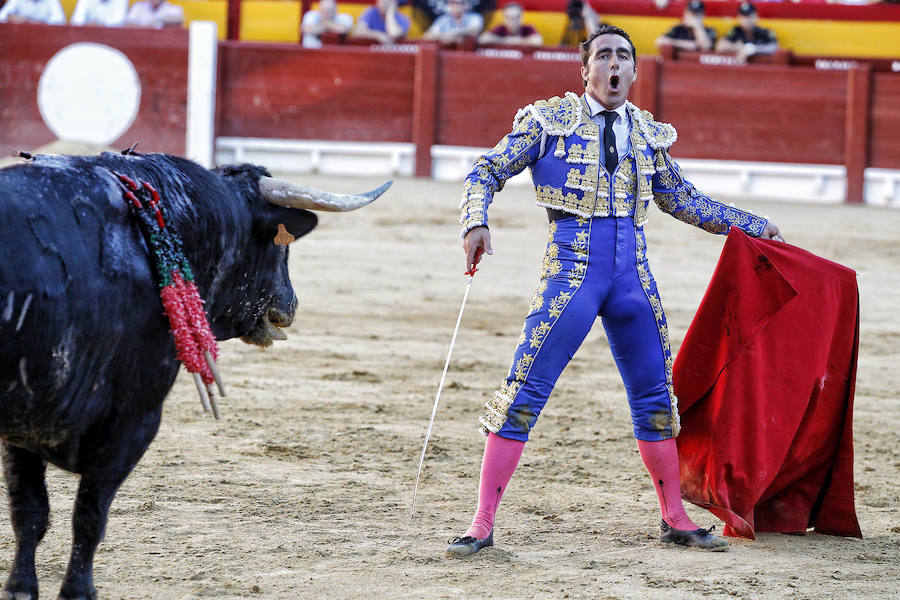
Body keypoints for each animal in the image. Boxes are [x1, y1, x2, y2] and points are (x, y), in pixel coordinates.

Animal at [0, 151, 388, 600]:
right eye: (280, 248)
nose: (291, 304)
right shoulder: (132, 419)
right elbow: (86, 516)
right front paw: (76, 591)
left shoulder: (28, 426)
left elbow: (30, 512)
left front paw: (20, 587)